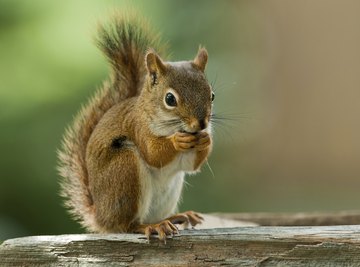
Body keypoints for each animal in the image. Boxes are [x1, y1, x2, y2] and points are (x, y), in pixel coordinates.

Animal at [57, 13, 214, 243]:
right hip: (125, 169)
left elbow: (191, 165)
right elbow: (153, 154)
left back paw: (176, 217)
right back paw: (152, 226)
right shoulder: (138, 128)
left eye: (212, 95)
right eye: (170, 99)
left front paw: (206, 139)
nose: (201, 123)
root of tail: (101, 217)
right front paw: (177, 141)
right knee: (127, 225)